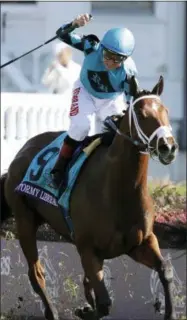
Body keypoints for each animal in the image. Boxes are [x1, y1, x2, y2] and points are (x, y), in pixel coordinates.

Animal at [0, 75, 178, 320]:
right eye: (142, 115)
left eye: (166, 111)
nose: (168, 146)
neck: (118, 190)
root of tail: (20, 154)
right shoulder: (88, 249)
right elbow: (104, 303)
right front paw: (85, 310)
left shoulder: (141, 242)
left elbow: (165, 270)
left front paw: (170, 312)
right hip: (24, 220)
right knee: (36, 274)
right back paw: (52, 312)